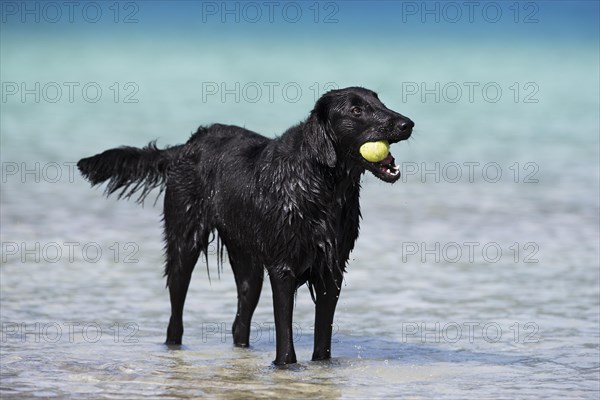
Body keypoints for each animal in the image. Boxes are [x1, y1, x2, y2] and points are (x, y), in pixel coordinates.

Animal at [78, 87, 412, 366]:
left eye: (379, 102)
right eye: (356, 110)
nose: (407, 124)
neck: (319, 184)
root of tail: (189, 144)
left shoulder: (332, 270)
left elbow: (323, 338)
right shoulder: (283, 269)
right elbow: (285, 334)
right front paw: (284, 366)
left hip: (248, 264)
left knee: (240, 322)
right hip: (184, 243)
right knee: (176, 316)